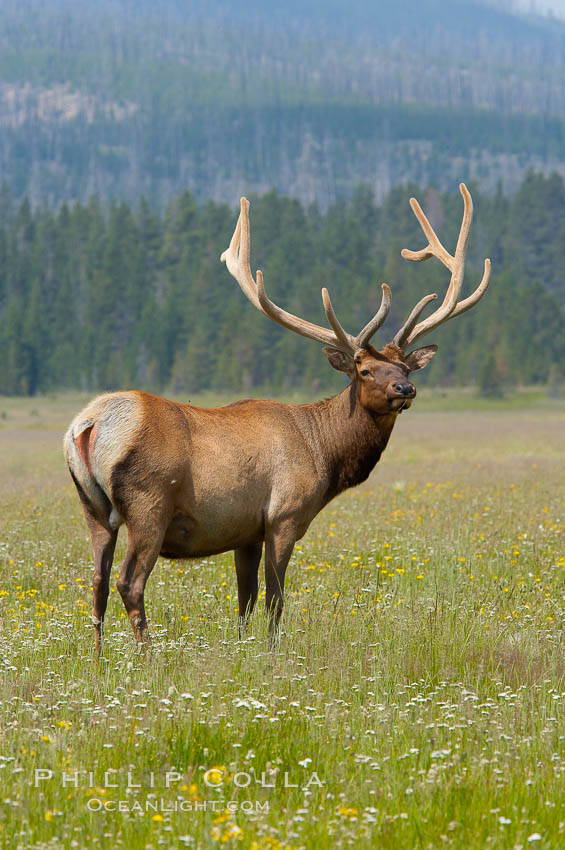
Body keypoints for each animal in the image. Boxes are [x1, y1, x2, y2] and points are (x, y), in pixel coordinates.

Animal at [65, 182, 490, 652]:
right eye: (364, 370)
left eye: (406, 368)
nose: (405, 390)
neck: (324, 452)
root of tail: (88, 426)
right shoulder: (283, 515)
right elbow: (274, 600)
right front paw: (271, 654)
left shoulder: (245, 532)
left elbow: (245, 602)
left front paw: (242, 650)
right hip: (148, 506)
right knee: (129, 583)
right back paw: (147, 657)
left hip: (93, 508)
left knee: (98, 583)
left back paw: (100, 659)